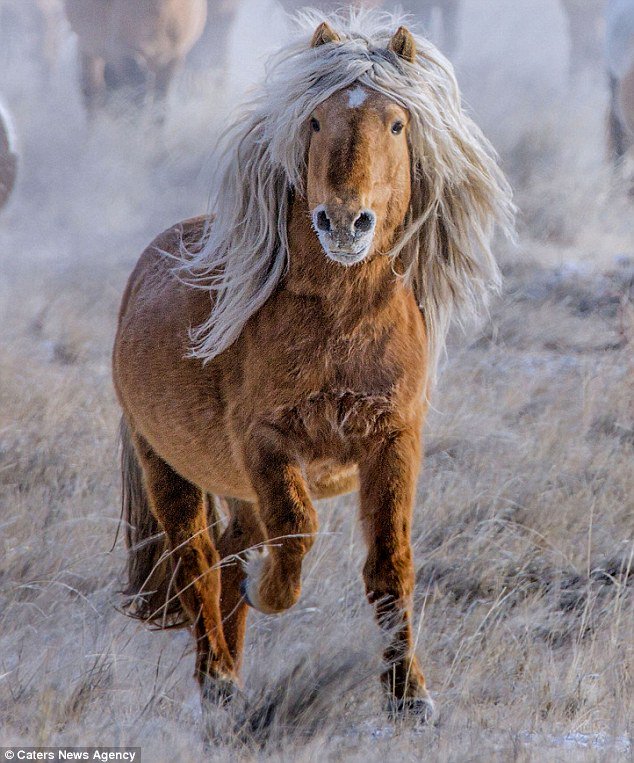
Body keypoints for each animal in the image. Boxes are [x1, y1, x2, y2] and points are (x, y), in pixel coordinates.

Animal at [62, 0, 205, 118]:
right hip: (91, 49)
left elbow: (160, 108)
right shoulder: (126, 55)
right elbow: (136, 102)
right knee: (95, 95)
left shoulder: (172, 58)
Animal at [111, 10, 512, 716]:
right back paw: (217, 678)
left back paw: (233, 674)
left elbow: (390, 564)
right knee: (197, 561)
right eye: (317, 121)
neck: (340, 326)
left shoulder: (393, 442)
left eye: (397, 124)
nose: (345, 223)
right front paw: (270, 593)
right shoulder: (267, 445)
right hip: (167, 467)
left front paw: (408, 697)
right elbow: (297, 530)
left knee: (230, 552)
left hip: (235, 487)